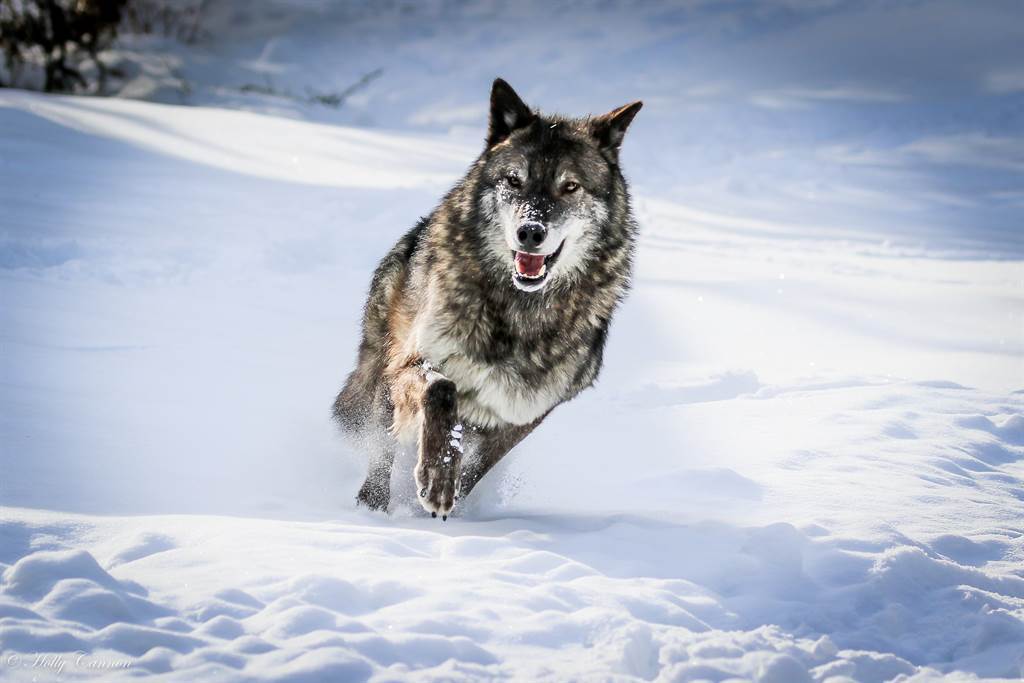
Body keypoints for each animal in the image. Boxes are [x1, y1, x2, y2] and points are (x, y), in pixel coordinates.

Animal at [333, 80, 638, 518]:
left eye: (570, 186)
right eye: (513, 180)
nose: (531, 231)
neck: (518, 314)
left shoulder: (523, 412)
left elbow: (479, 465)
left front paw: (449, 493)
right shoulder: (411, 364)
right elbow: (442, 391)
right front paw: (437, 478)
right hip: (383, 372)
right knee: (381, 446)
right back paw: (370, 509)